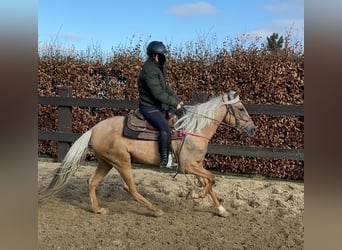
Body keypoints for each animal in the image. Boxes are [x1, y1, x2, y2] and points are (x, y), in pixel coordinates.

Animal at [38, 90, 255, 217]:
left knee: (92, 182)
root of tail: (93, 129)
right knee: (130, 188)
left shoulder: (197, 165)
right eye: (241, 108)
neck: (193, 129)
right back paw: (155, 210)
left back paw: (98, 209)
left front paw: (221, 209)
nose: (253, 129)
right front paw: (194, 195)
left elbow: (209, 182)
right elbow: (211, 180)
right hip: (122, 161)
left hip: (106, 162)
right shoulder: (188, 166)